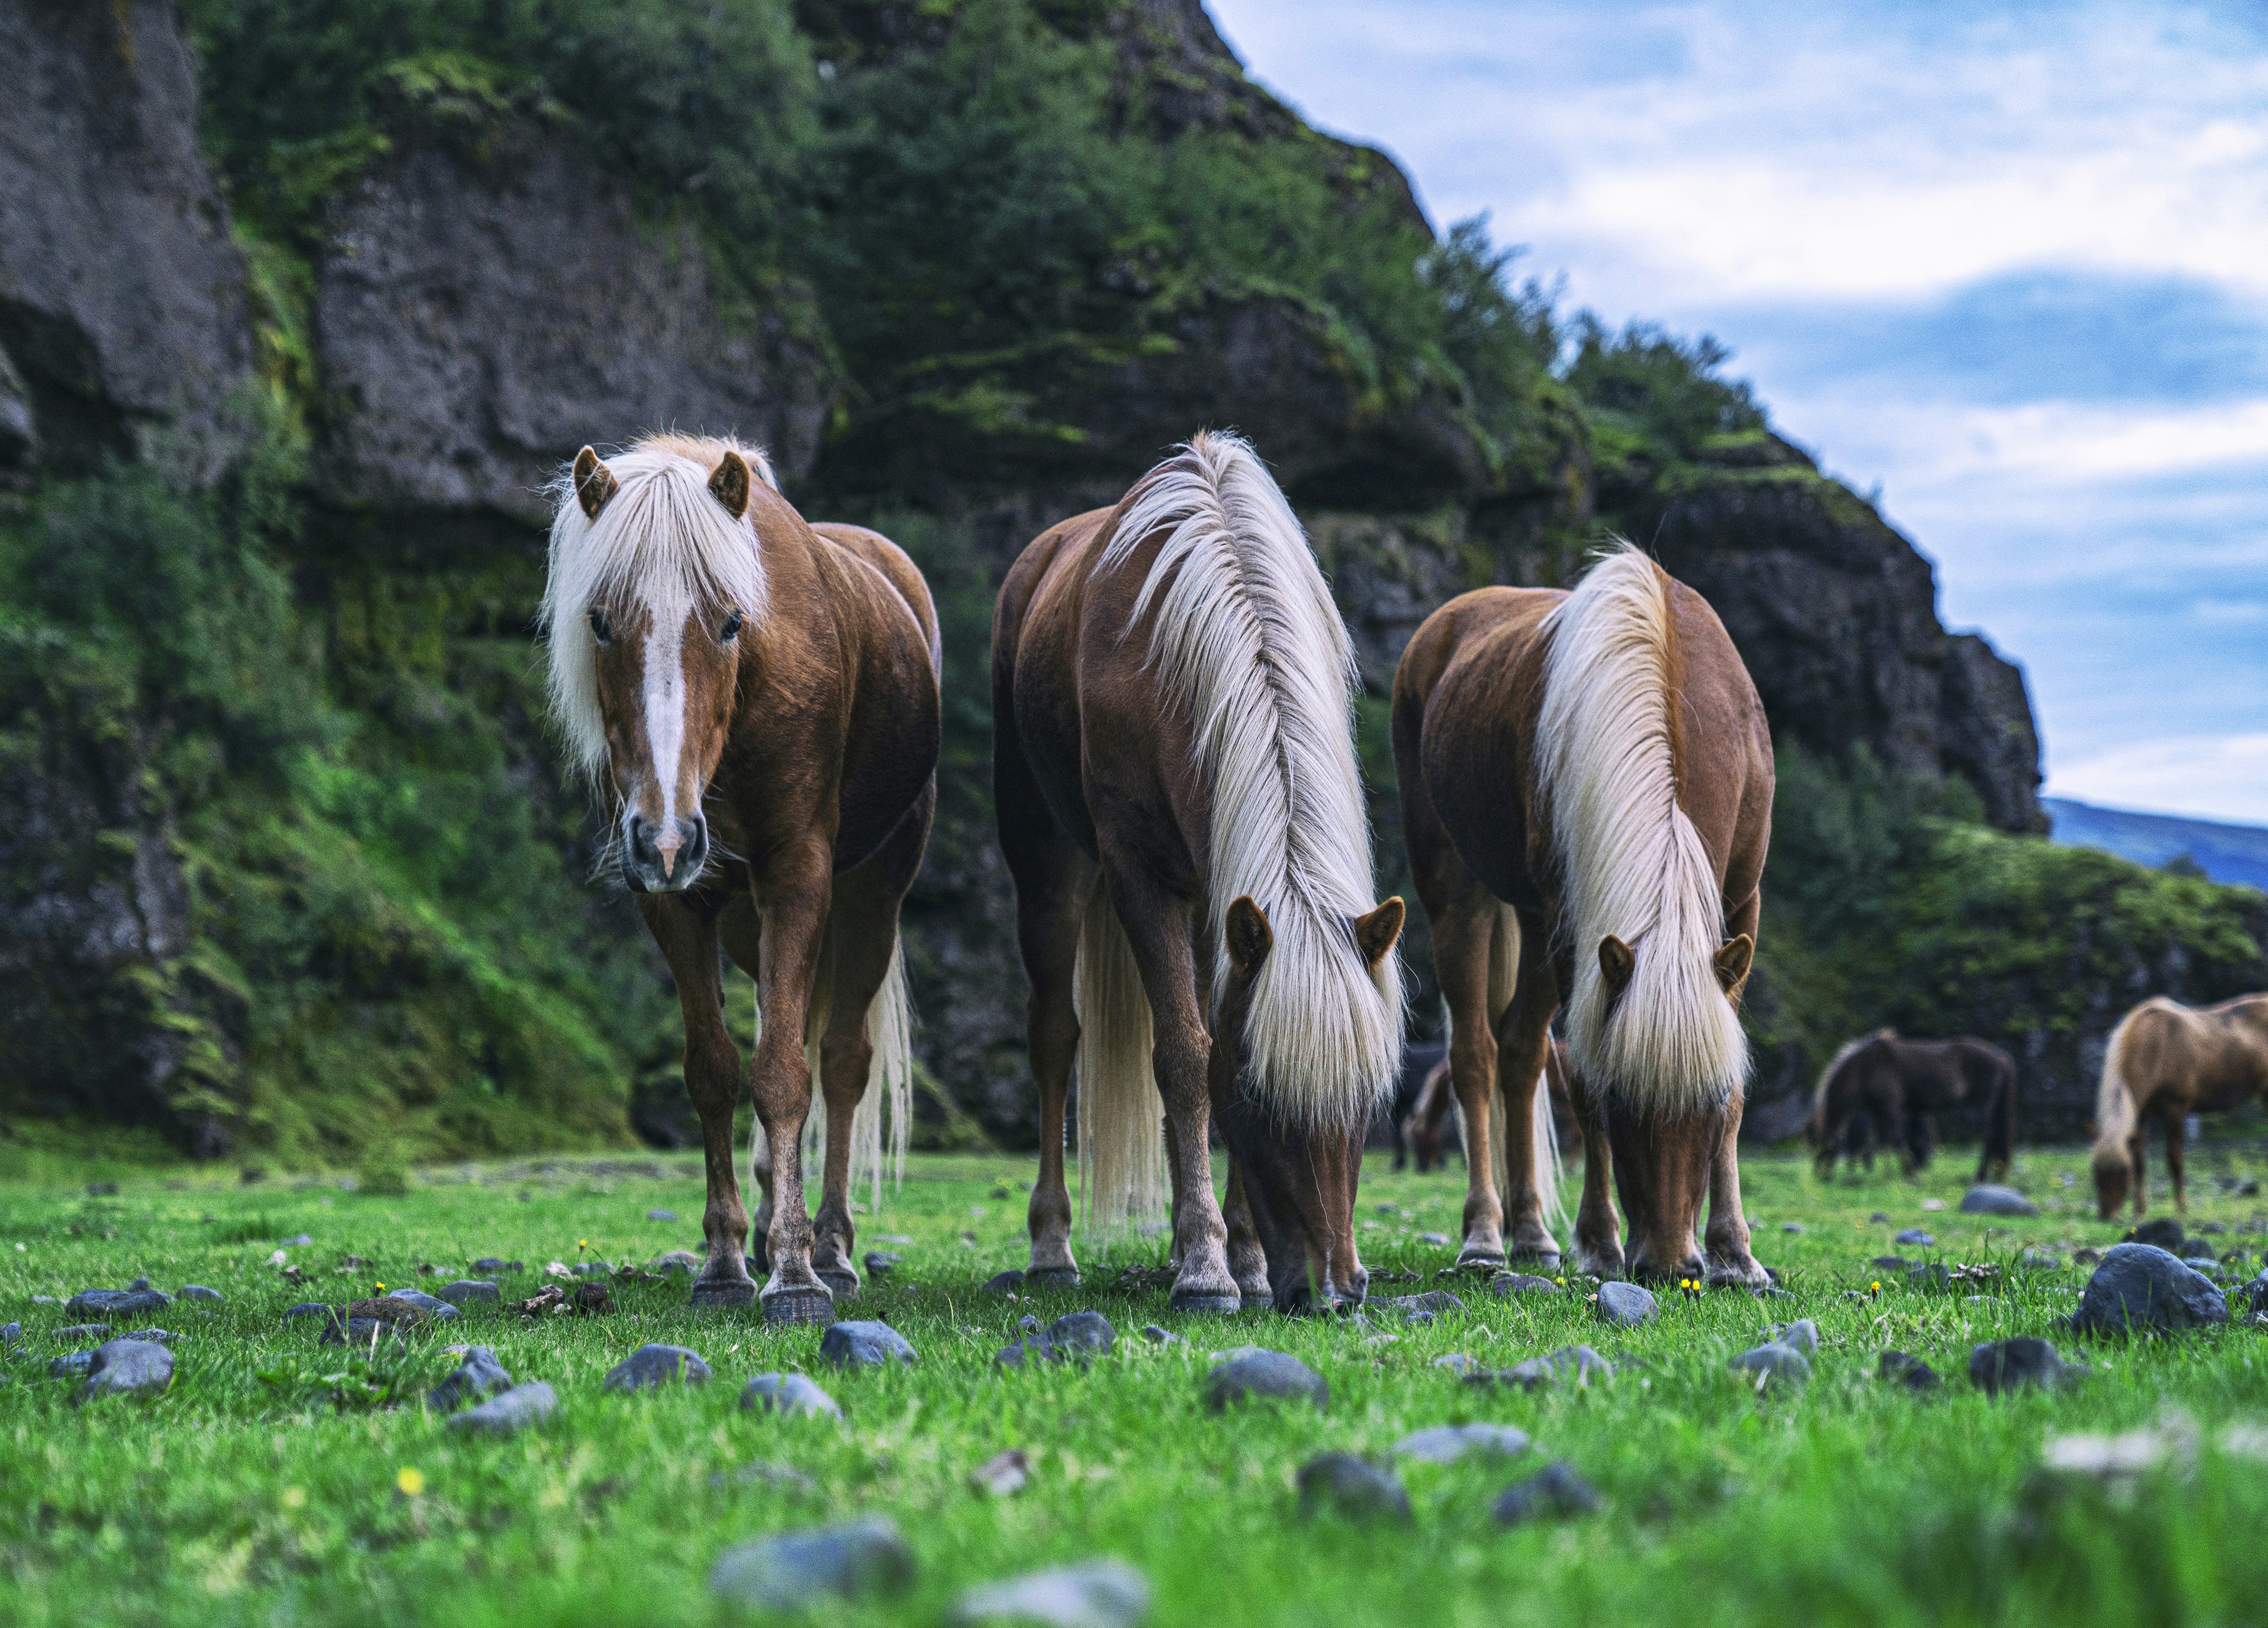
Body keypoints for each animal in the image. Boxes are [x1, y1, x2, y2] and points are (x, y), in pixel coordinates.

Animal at [539, 433, 939, 1324]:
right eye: (600, 621)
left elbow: (787, 1074)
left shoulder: (799, 872)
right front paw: (725, 1260)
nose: (665, 836)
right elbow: (717, 1073)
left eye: (729, 621)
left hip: (874, 893)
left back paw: (833, 1246)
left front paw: (795, 1272)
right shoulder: (679, 901)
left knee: (842, 1062)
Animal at [993, 431, 1397, 1315]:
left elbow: (1210, 1034)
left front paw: (1242, 1255)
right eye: (1260, 1096)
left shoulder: (1227, 899)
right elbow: (1186, 1056)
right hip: (1047, 866)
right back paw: (1051, 1249)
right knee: (1054, 1038)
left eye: (1368, 1099)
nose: (1336, 1287)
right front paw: (1209, 1269)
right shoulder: (1141, 876)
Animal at [1388, 548, 1778, 1288]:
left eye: (1709, 1100)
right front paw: (1600, 1240)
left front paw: (1735, 1252)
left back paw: (1532, 1232)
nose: (1669, 1265)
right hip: (1461, 895)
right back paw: (1488, 1235)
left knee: (1520, 1053)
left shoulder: (1743, 901)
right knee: (1478, 1056)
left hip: (1529, 922)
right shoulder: (1574, 931)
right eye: (1625, 1102)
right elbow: (1581, 1075)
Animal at [1805, 1038, 2023, 1178]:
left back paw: (1980, 1176)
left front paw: (1910, 1173)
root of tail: (2001, 1056)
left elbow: (1895, 1139)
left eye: (1822, 1146)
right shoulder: (1877, 1110)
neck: (1865, 1067)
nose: (1820, 1176)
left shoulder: (1891, 1106)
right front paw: (1886, 1173)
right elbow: (1882, 1141)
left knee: (1989, 1136)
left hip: (1983, 1103)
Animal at [2086, 993, 2268, 1224]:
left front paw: (2182, 1209)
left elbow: (2175, 1160)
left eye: (2124, 1171)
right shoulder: (2141, 1113)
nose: (2107, 1215)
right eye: (2094, 1168)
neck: (2155, 1048)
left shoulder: (2176, 1109)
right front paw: (2139, 1211)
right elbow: (2140, 1161)